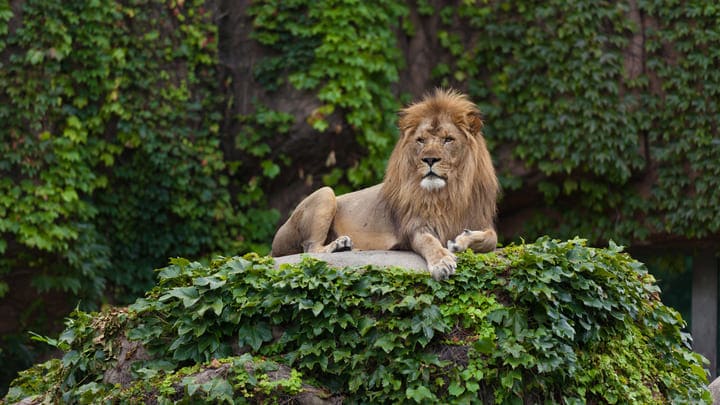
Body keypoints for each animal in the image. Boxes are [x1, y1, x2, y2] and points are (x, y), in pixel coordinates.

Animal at [272, 87, 500, 278]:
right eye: (421, 140)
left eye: (448, 139)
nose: (429, 159)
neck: (447, 193)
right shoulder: (413, 226)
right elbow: (429, 242)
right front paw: (442, 262)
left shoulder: (479, 219)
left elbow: (491, 238)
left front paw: (461, 241)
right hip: (325, 193)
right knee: (311, 249)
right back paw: (340, 245)